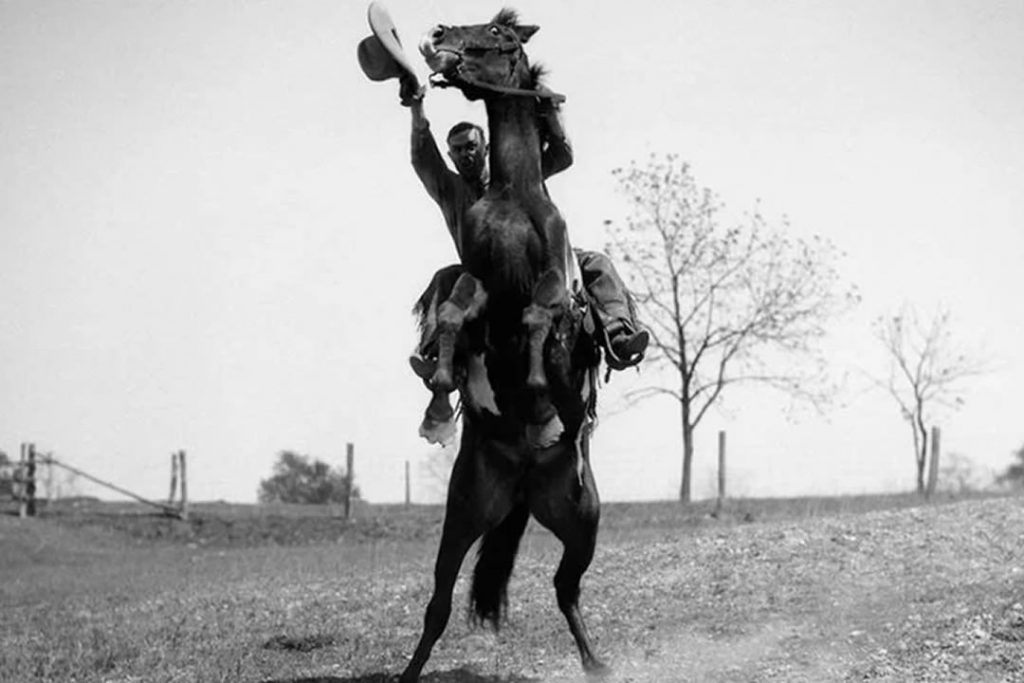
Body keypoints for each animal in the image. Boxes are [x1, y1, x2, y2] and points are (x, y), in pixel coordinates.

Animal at [397, 9, 606, 683]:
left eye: (499, 34)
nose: (439, 35)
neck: (513, 194)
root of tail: (520, 487)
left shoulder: (549, 284)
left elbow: (541, 315)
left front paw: (538, 385)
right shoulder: (480, 279)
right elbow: (454, 311)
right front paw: (441, 387)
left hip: (583, 520)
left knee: (566, 590)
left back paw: (598, 663)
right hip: (464, 513)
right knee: (438, 602)